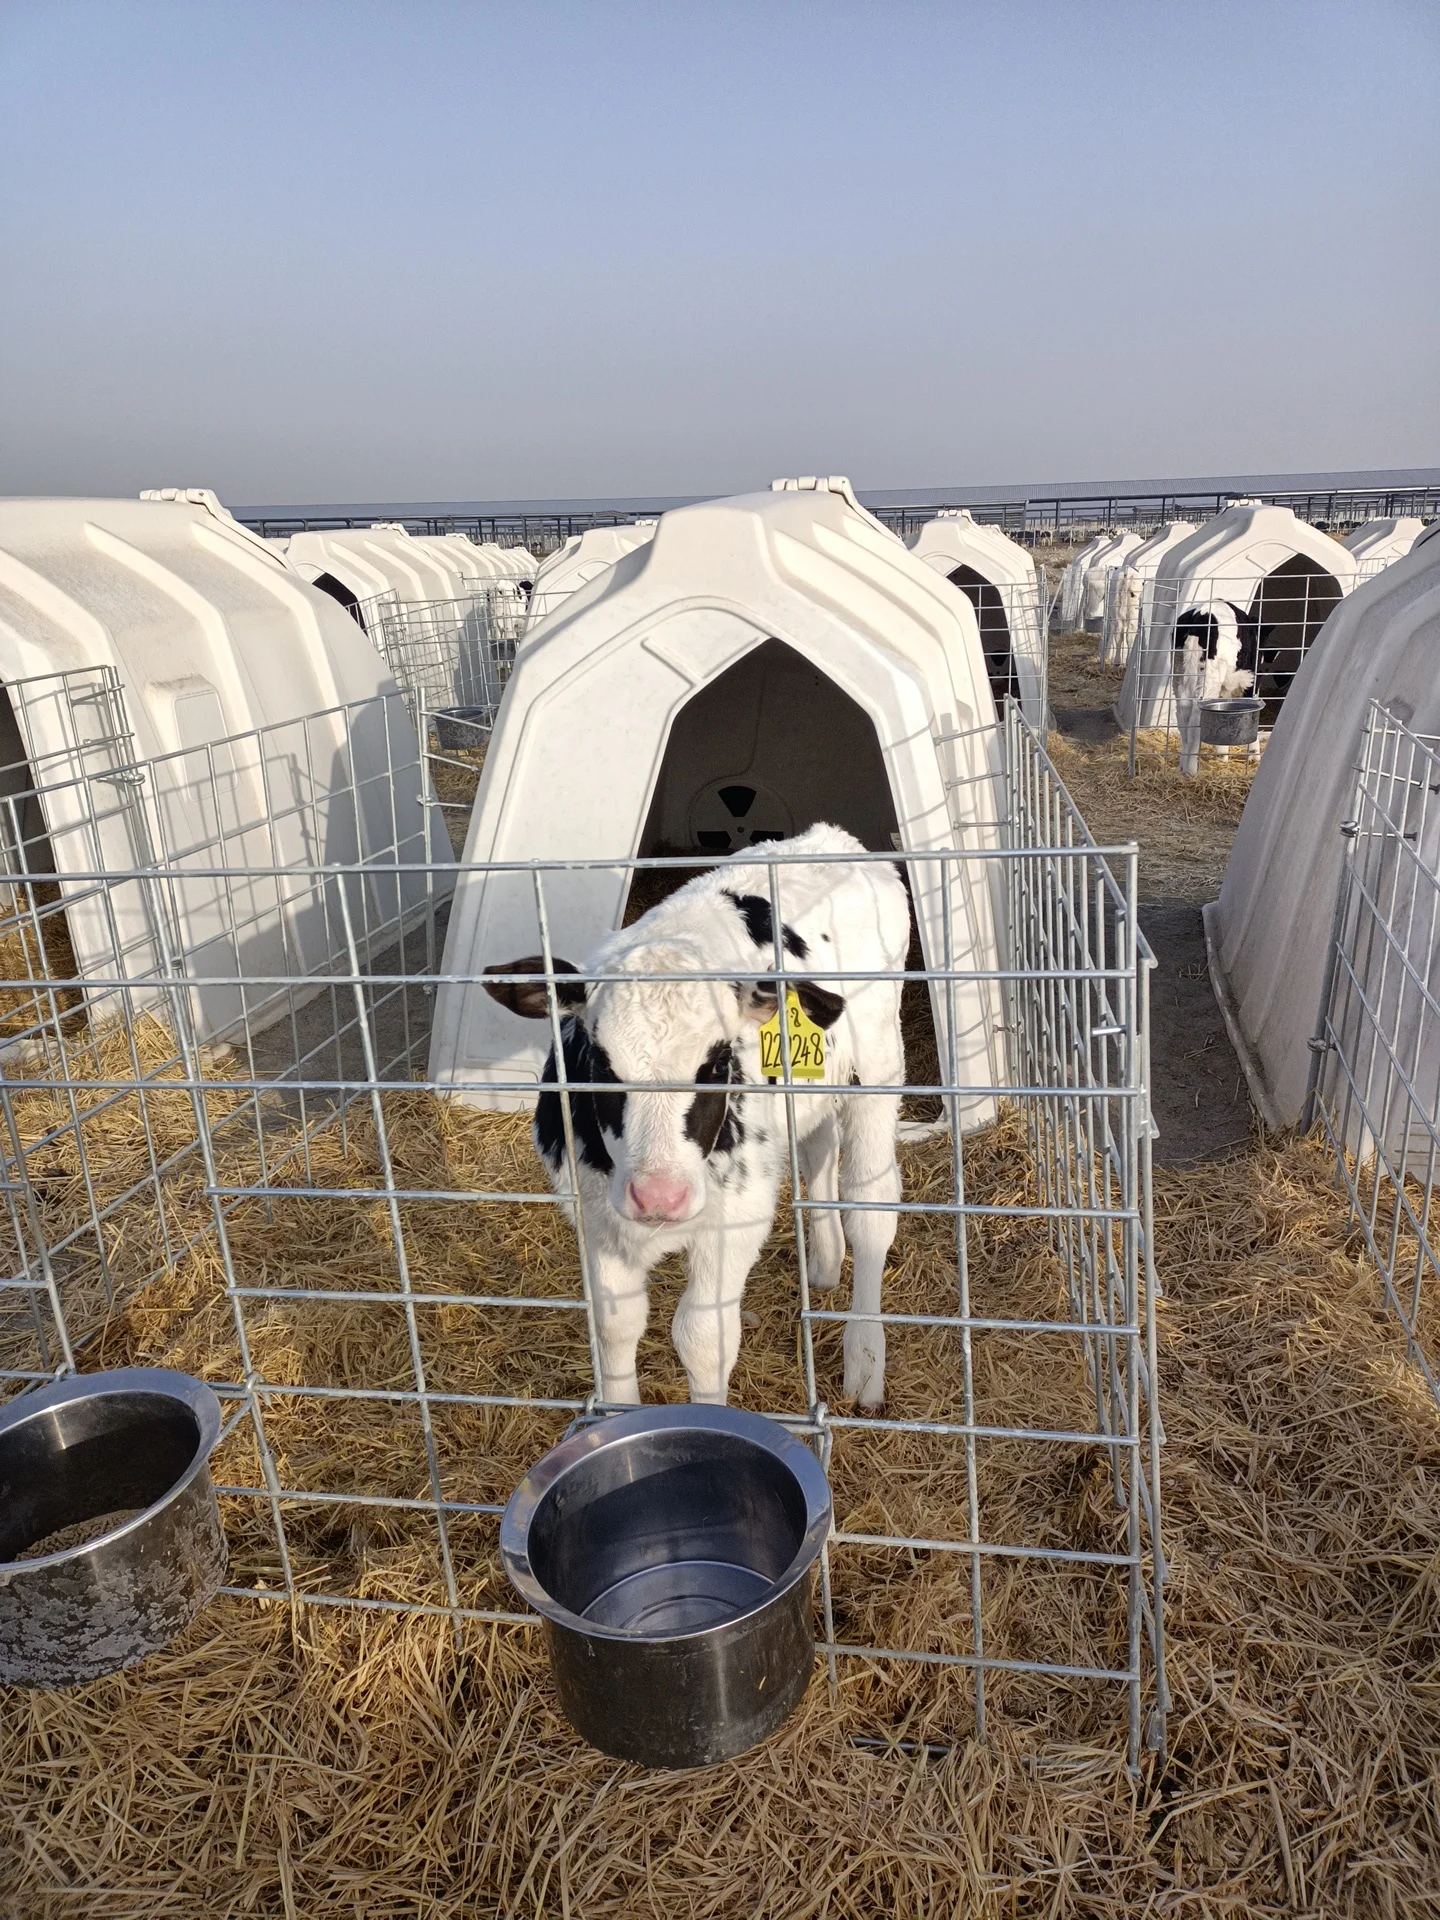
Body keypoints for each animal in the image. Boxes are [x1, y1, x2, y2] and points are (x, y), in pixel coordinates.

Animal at [483, 824, 910, 1409]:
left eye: (718, 1062)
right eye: (599, 1062)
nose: (658, 1197)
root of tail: (831, 838)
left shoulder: (739, 1215)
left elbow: (703, 1337)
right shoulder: (591, 1212)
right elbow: (615, 1324)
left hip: (878, 1067)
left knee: (871, 1209)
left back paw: (865, 1359)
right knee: (818, 1145)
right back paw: (824, 1261)